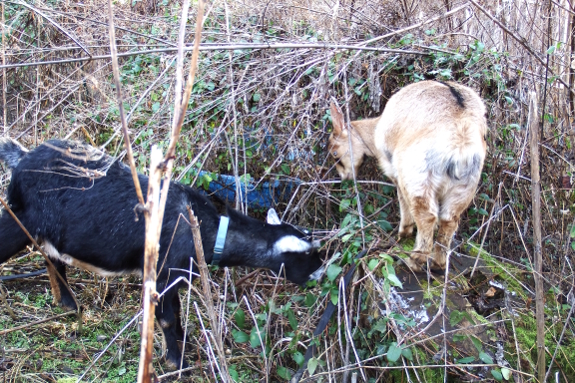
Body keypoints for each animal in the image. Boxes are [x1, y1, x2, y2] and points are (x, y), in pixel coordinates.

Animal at [0, 138, 324, 368]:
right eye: (306, 255)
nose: (321, 273)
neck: (204, 229)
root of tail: (22, 158)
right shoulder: (162, 273)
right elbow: (166, 318)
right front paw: (176, 361)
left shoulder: (175, 276)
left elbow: (177, 313)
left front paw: (185, 343)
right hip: (19, 217)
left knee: (54, 260)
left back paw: (69, 304)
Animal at [330, 81, 488, 272]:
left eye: (335, 154)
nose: (343, 178)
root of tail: (461, 133)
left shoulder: (394, 171)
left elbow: (402, 201)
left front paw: (403, 233)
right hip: (466, 185)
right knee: (449, 220)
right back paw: (438, 264)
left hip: (416, 175)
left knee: (426, 215)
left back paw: (414, 260)